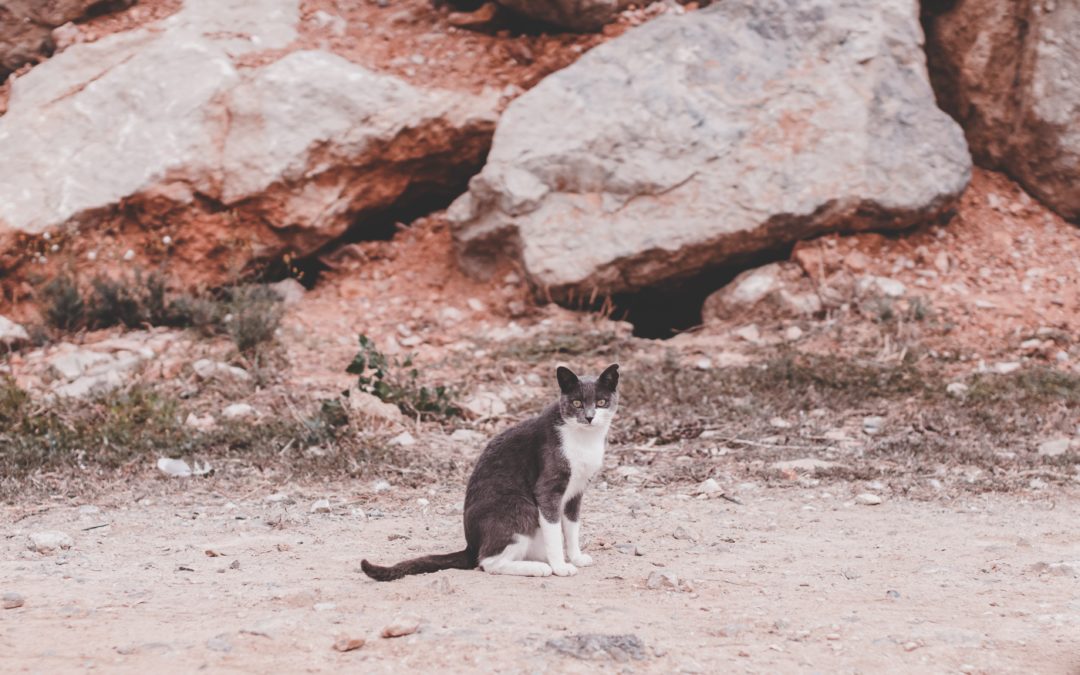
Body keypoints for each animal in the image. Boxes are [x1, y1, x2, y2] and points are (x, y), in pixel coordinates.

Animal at [360, 362, 622, 578]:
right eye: (577, 403)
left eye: (601, 402)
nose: (589, 417)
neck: (584, 440)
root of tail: (471, 545)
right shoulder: (549, 489)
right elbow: (555, 532)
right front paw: (561, 567)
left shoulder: (576, 491)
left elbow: (572, 526)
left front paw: (576, 557)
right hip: (519, 508)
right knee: (488, 561)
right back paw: (539, 568)